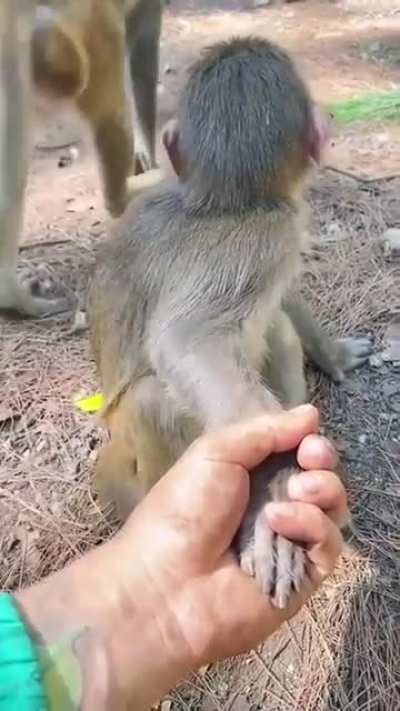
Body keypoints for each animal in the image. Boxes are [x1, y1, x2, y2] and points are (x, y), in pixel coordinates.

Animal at [88, 36, 371, 608]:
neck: (220, 202)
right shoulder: (273, 231)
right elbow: (189, 344)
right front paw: (272, 497)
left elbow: (282, 300)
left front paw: (330, 354)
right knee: (154, 399)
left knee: (275, 331)